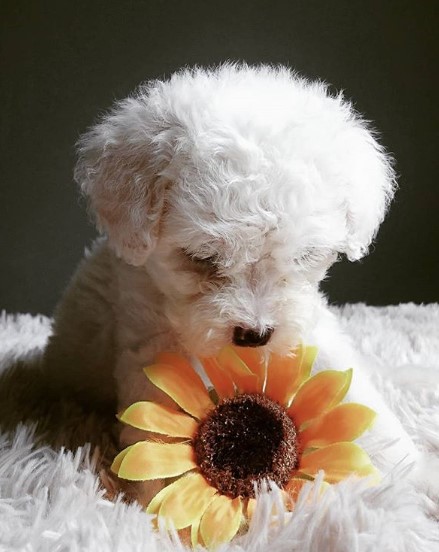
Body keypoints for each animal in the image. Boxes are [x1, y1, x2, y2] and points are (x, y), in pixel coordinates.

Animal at [44, 64, 422, 496]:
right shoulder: (151, 336)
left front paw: (408, 467)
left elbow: (346, 380)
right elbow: (161, 402)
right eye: (201, 259)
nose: (255, 336)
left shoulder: (304, 328)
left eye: (304, 257)